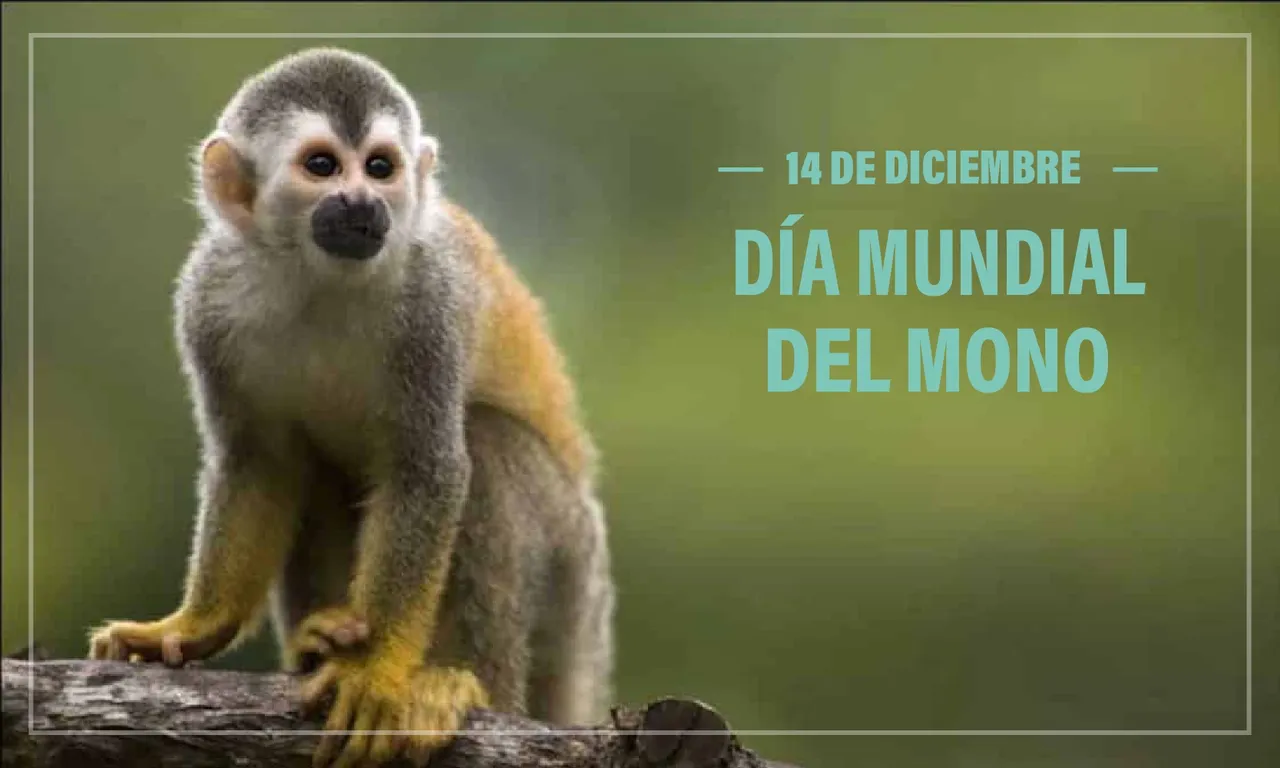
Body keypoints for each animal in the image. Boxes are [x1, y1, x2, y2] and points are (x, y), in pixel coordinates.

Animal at [86, 48, 615, 768]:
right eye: (322, 166)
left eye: (380, 167)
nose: (364, 202)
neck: (318, 276)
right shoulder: (205, 300)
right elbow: (258, 463)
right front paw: (195, 627)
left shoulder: (430, 300)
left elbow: (427, 469)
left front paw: (373, 669)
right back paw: (316, 648)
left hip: (571, 567)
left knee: (488, 444)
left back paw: (464, 686)